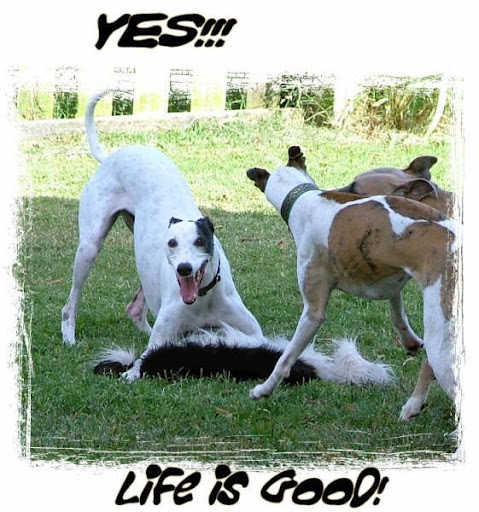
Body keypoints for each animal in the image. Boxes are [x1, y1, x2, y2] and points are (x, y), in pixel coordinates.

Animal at [247, 146, 459, 420]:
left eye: (355, 188)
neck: (305, 199)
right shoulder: (390, 279)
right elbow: (397, 312)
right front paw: (410, 341)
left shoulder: (313, 311)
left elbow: (286, 357)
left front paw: (264, 388)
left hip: (441, 339)